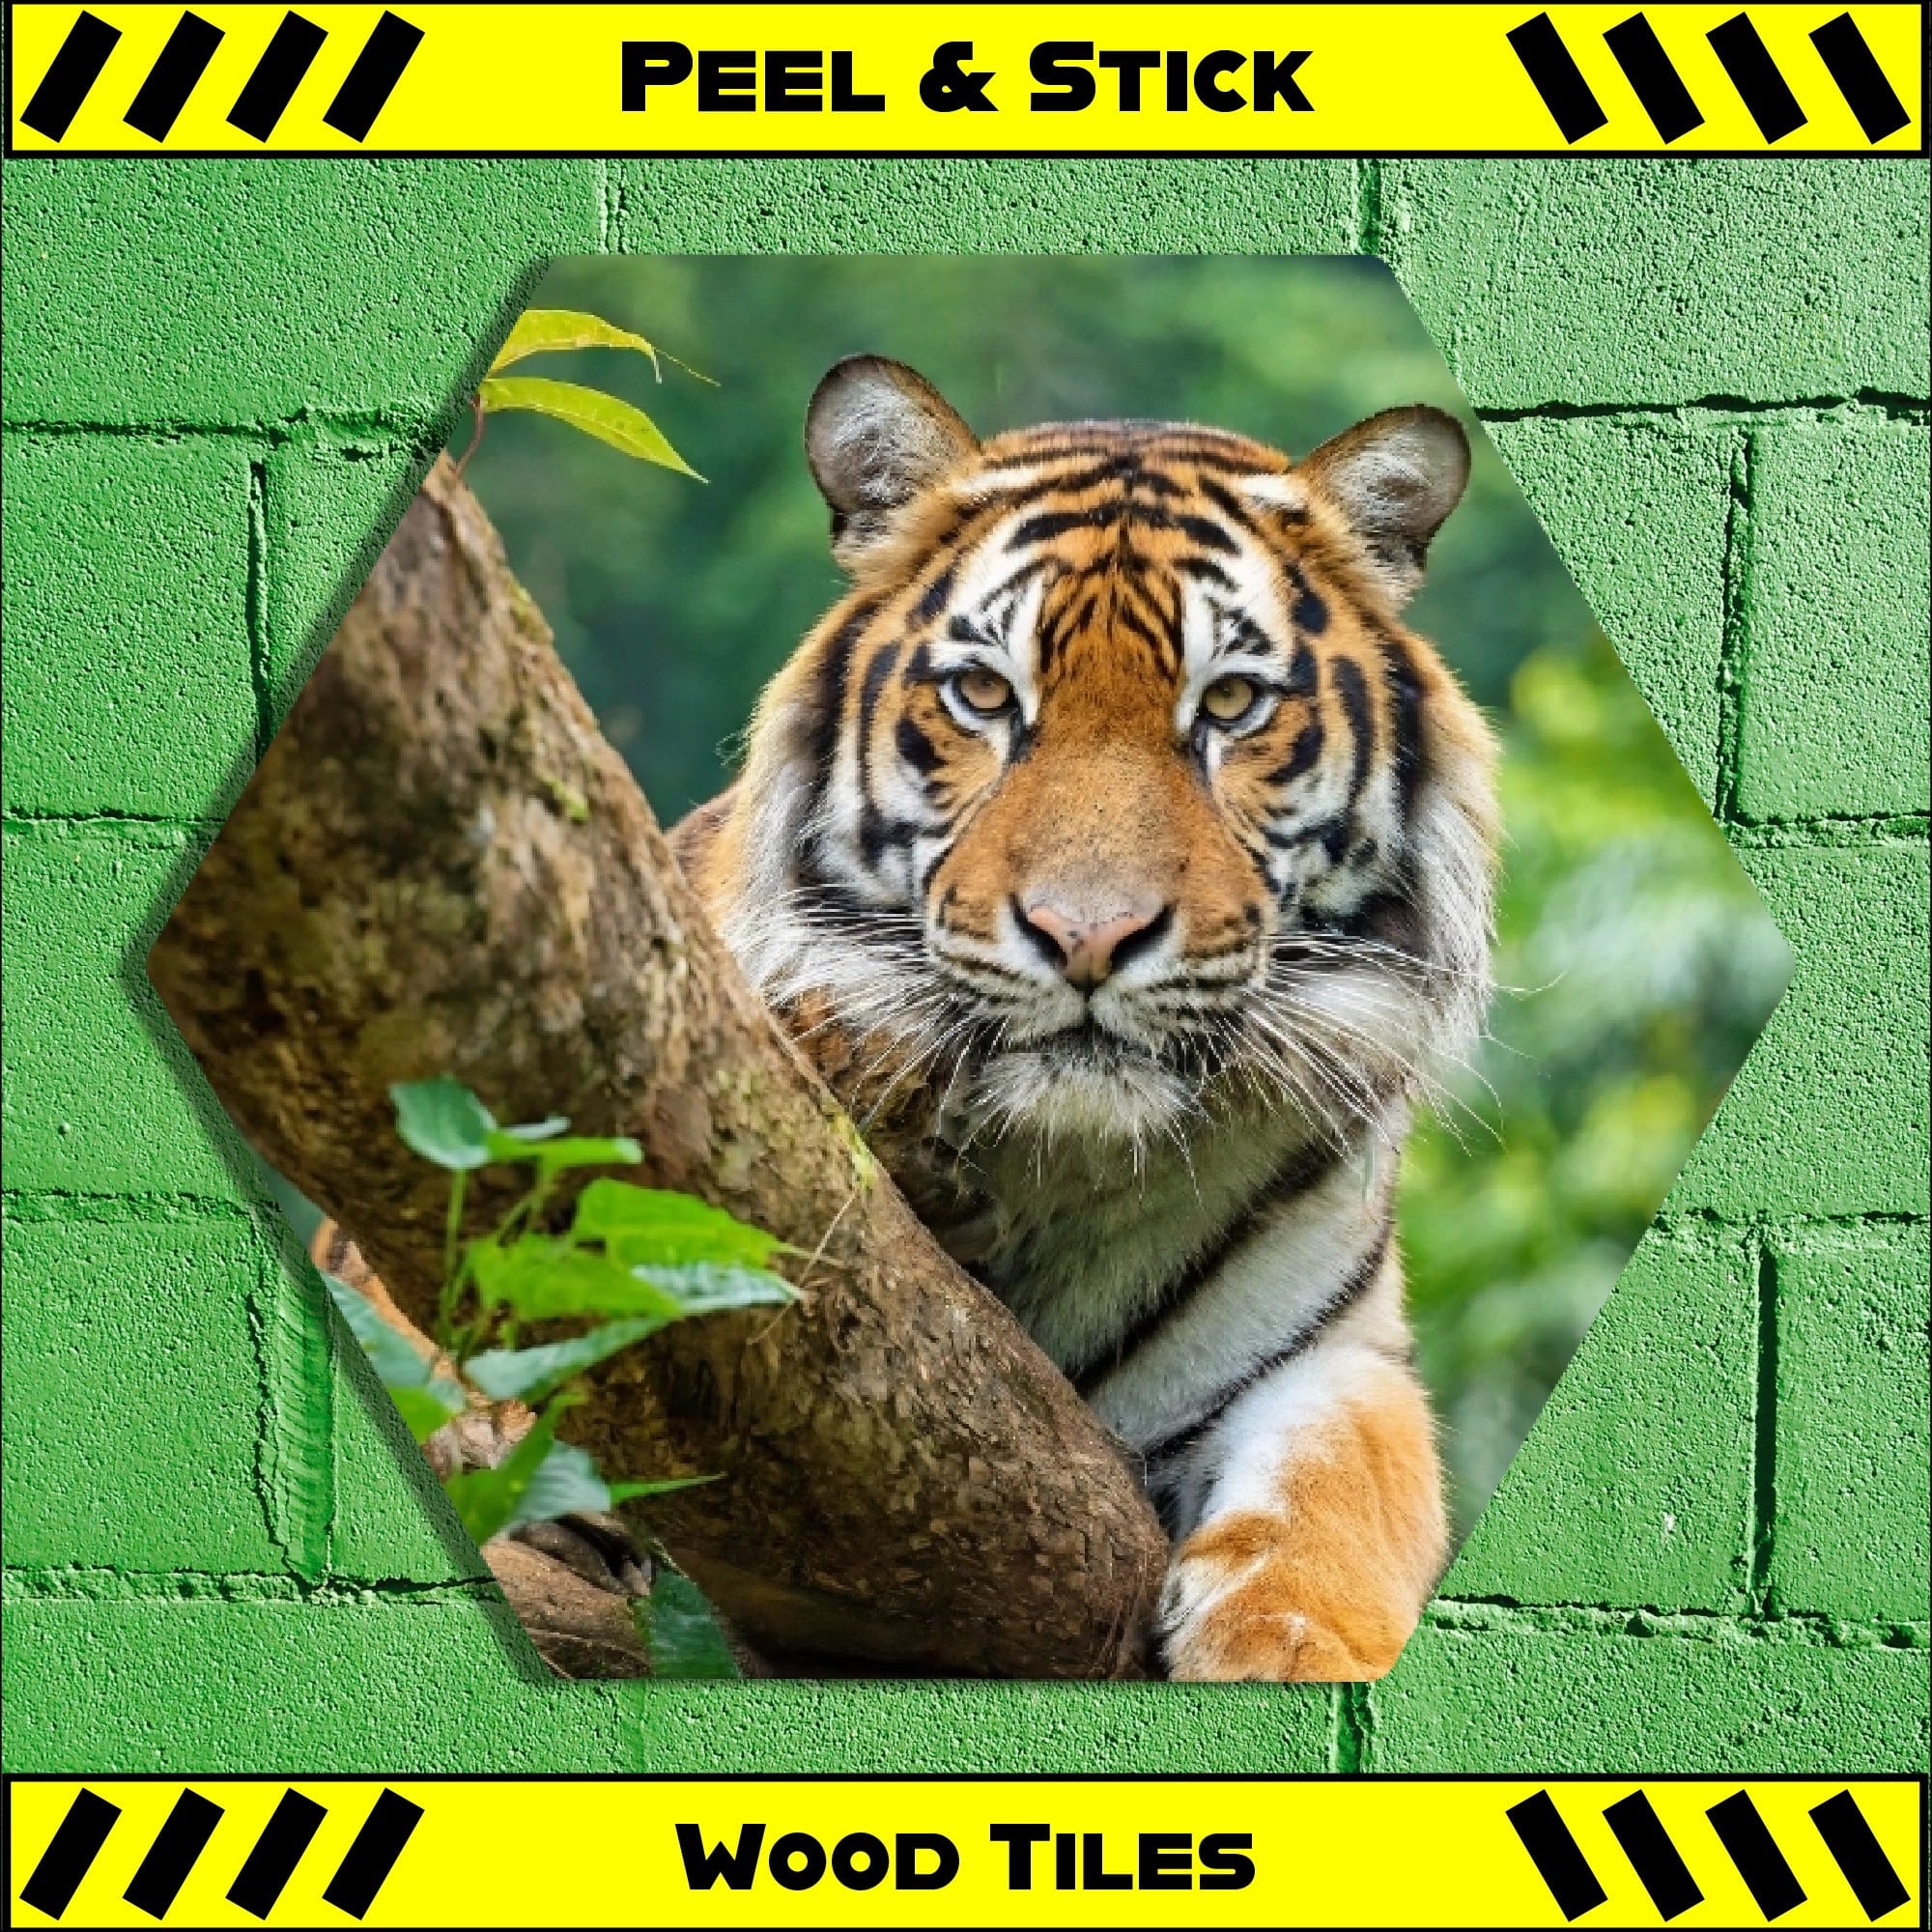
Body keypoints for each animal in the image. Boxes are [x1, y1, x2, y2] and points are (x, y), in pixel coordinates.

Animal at [673, 354, 1499, 1682]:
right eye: (980, 692)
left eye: (1229, 702)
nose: (1087, 936)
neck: (1069, 1167)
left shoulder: (1337, 1352)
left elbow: (1339, 1482)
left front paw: (1297, 1642)